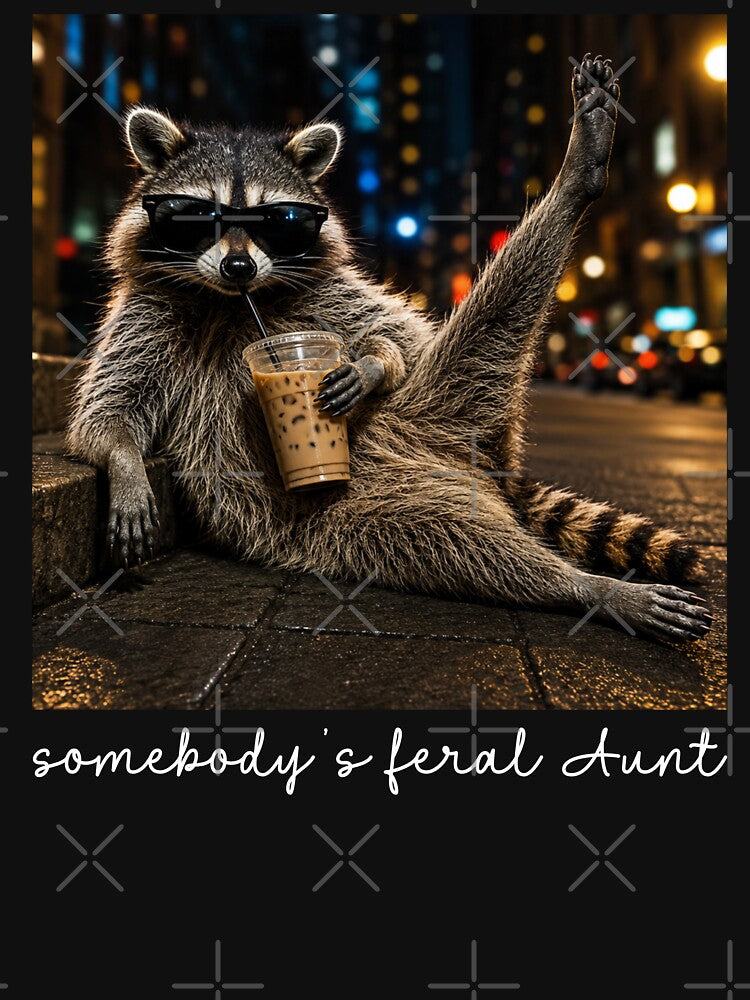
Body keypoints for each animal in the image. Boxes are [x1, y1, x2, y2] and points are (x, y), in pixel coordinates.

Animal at [69, 56, 712, 643]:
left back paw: (575, 178)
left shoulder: (326, 296)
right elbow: (108, 408)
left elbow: (400, 334)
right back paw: (579, 587)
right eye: (198, 217)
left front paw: (373, 363)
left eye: (279, 221)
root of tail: (472, 464)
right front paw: (125, 463)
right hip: (365, 515)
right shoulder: (146, 314)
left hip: (440, 405)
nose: (238, 267)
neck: (231, 302)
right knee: (460, 547)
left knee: (486, 322)